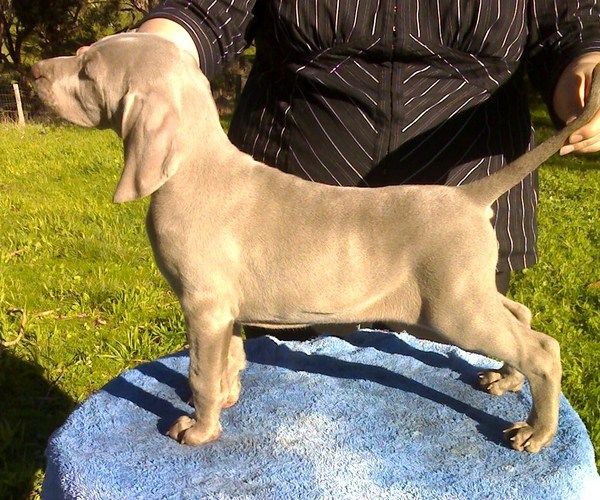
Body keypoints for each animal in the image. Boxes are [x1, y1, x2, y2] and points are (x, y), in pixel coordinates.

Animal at [32, 33, 600, 453]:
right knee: (521, 315)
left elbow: (199, 372)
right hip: (466, 293)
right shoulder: (224, 311)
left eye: (86, 71)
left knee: (542, 348)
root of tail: (467, 196)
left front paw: (199, 429)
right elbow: (228, 358)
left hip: (454, 308)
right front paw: (229, 396)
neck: (192, 165)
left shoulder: (203, 305)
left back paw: (536, 431)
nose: (35, 71)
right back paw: (506, 380)